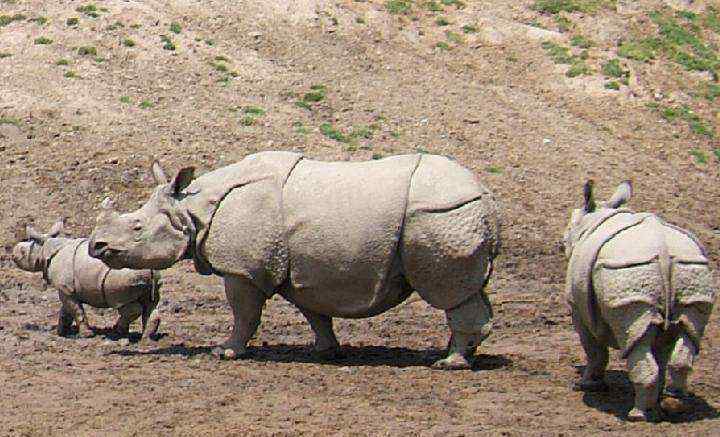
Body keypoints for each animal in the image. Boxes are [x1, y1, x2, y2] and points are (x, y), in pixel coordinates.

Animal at [12, 218, 160, 338]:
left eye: (23, 253)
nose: (13, 255)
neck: (44, 249)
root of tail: (150, 269)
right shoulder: (67, 289)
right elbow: (66, 310)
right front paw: (61, 333)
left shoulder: (65, 288)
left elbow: (76, 310)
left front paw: (86, 335)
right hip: (150, 274)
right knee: (150, 303)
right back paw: (146, 338)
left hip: (124, 276)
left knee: (125, 304)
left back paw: (117, 332)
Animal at [87, 151, 498, 368]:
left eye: (137, 226)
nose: (95, 246)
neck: (191, 208)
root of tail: (487, 194)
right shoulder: (300, 266)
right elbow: (313, 310)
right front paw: (325, 350)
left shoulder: (242, 269)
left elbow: (244, 313)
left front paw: (226, 351)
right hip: (451, 215)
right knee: (469, 291)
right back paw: (459, 354)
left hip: (440, 215)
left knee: (450, 293)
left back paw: (450, 363)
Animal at [564, 180, 716, 418]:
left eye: (568, 230)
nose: (562, 242)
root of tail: (663, 250)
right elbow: (660, 351)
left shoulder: (578, 308)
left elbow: (594, 350)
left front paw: (588, 385)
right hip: (691, 268)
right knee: (687, 333)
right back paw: (674, 404)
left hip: (627, 268)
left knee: (634, 337)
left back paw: (637, 415)